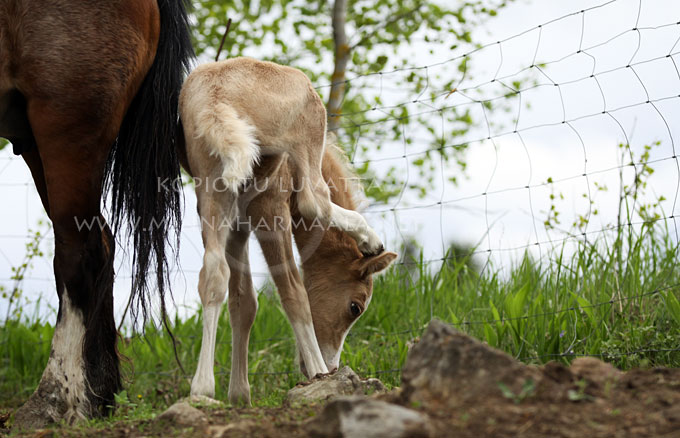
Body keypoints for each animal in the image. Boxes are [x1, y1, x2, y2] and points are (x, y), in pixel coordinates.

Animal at [178, 57, 396, 404]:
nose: (332, 366)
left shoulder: (237, 225)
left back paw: (202, 387)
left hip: (212, 191)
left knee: (213, 274)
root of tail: (217, 99)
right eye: (355, 307)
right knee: (313, 206)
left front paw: (239, 395)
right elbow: (292, 290)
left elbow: (243, 302)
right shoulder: (270, 208)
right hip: (308, 121)